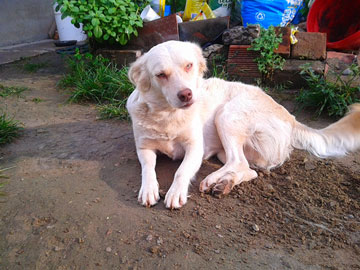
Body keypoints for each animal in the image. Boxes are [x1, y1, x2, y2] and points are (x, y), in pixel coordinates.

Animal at [126, 40, 360, 209]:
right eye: (161, 75)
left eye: (189, 66)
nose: (186, 95)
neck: (167, 115)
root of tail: (290, 117)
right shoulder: (144, 148)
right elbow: (148, 168)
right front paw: (148, 189)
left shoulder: (195, 148)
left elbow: (181, 171)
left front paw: (175, 192)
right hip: (226, 147)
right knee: (247, 168)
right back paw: (225, 183)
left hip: (227, 115)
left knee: (238, 162)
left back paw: (214, 179)